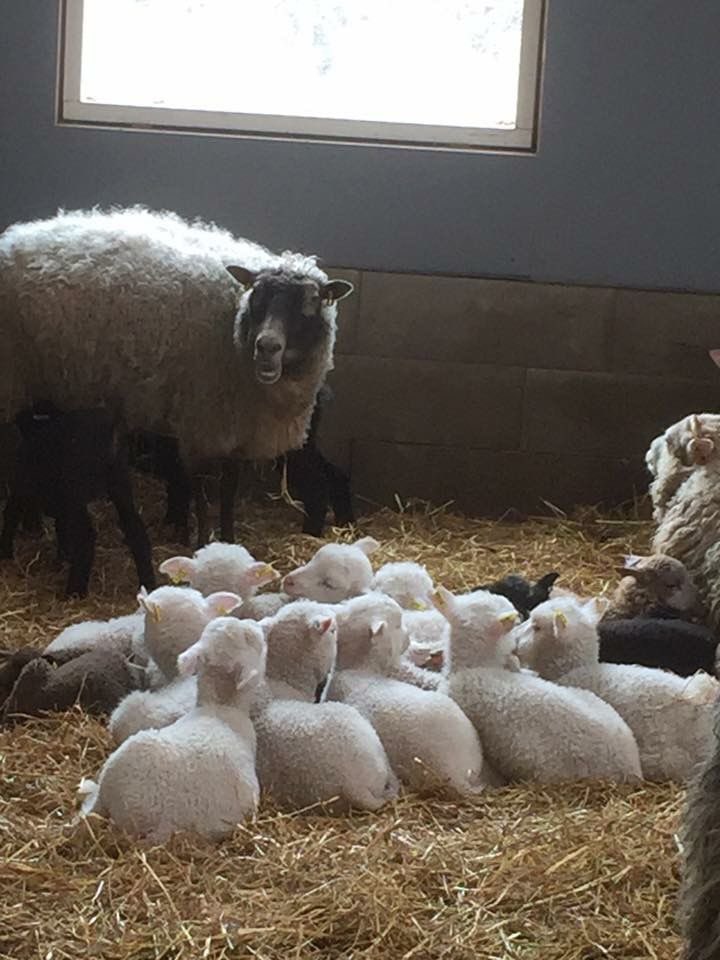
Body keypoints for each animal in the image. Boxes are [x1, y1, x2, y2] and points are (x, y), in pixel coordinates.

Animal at [0, 206, 354, 546]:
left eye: (310, 305)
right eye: (257, 299)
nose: (266, 346)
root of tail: (9, 240)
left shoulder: (235, 429)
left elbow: (228, 489)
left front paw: (229, 539)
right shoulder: (200, 423)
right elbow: (199, 488)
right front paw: (201, 540)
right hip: (15, 377)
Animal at [0, 403, 155, 597]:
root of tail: (109, 428)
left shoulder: (23, 485)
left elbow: (11, 514)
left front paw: (5, 552)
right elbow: (61, 526)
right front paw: (64, 556)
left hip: (76, 488)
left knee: (86, 535)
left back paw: (74, 591)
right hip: (120, 482)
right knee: (135, 528)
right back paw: (149, 583)